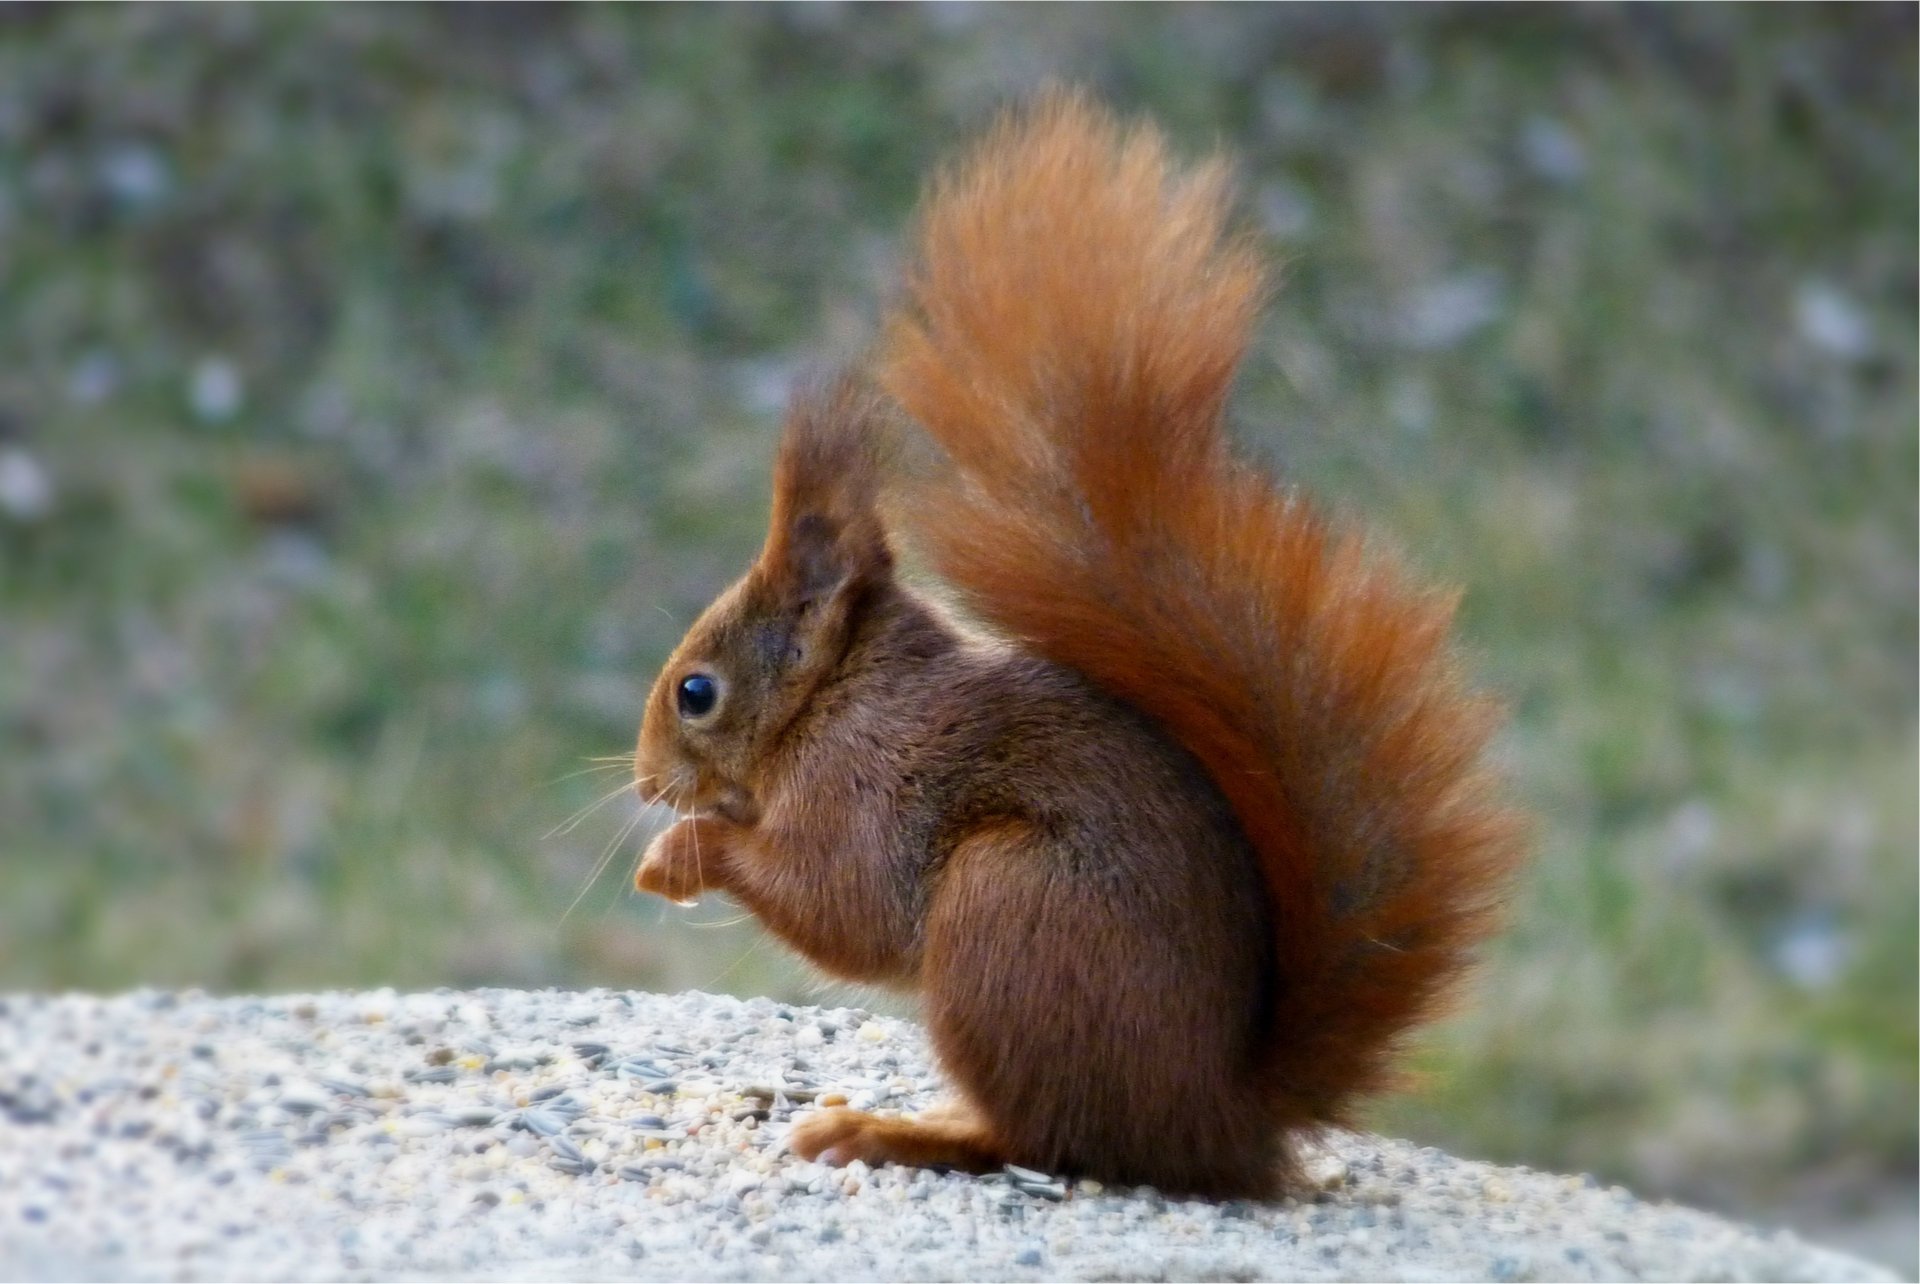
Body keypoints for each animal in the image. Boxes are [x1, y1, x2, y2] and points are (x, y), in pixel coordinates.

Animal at [630, 93, 1526, 1199]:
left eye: (696, 692)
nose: (645, 783)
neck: (835, 700)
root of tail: (1222, 1120)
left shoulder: (870, 790)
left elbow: (845, 906)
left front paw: (683, 851)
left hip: (1010, 912)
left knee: (1045, 1138)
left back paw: (898, 1133)